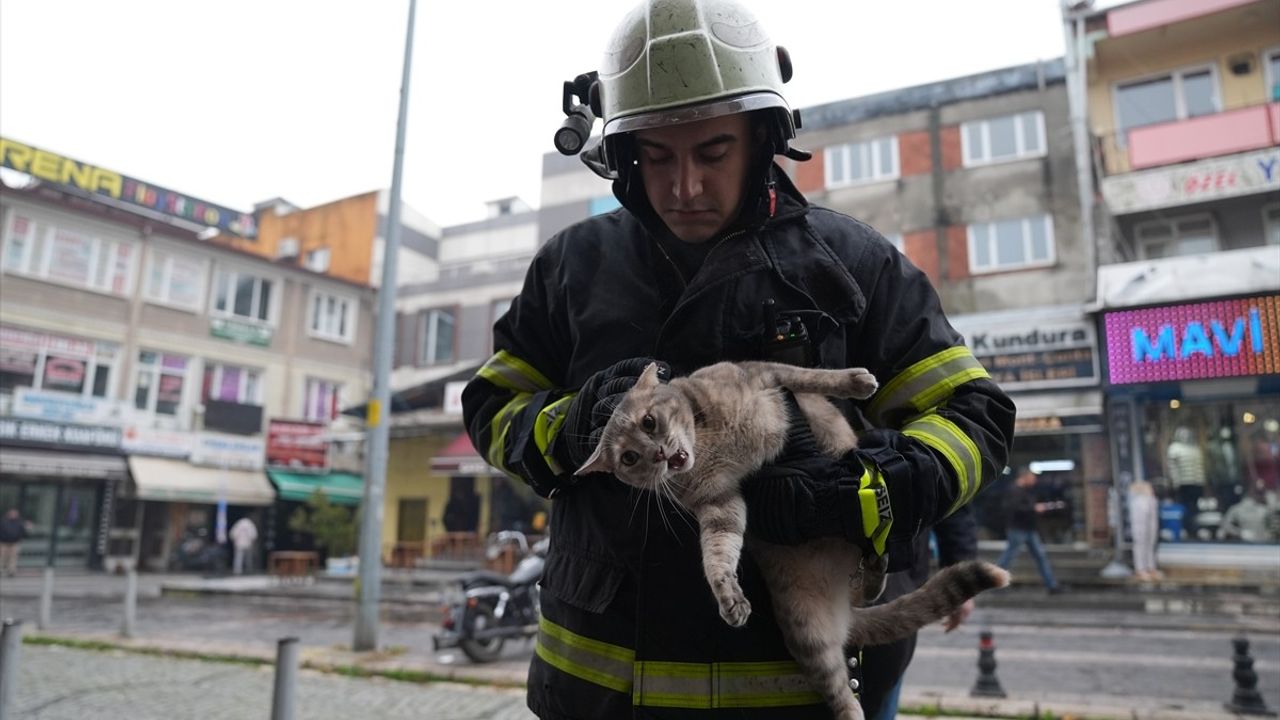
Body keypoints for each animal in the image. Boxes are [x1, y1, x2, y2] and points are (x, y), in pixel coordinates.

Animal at [578, 361, 1008, 712]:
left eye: (649, 423)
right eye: (629, 458)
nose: (656, 456)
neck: (708, 442)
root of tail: (844, 609)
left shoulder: (763, 375)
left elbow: (808, 375)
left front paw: (855, 381)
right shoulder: (720, 505)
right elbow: (718, 555)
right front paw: (729, 596)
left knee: (873, 548)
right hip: (808, 635)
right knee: (845, 696)